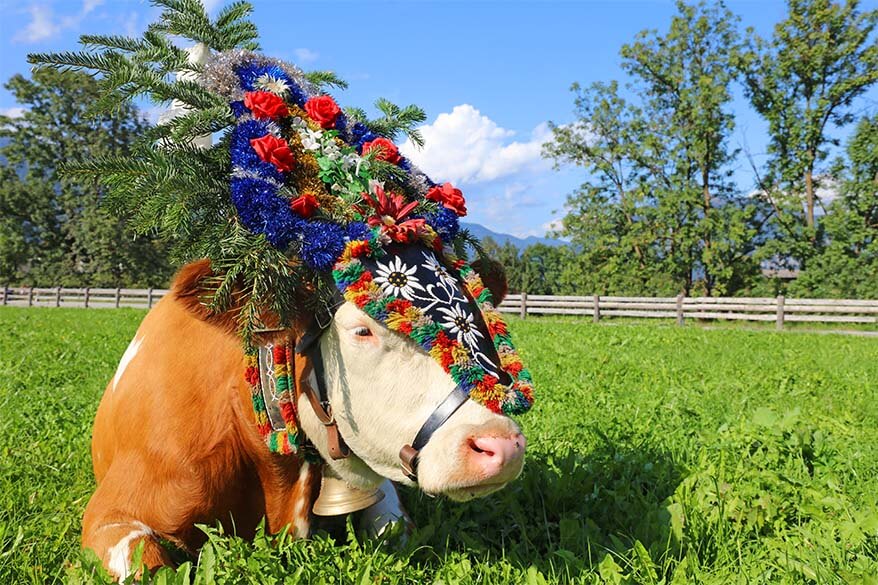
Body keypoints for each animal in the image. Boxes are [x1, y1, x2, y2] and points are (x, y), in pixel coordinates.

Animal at [84, 260, 524, 580]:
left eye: (478, 324)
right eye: (362, 331)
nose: (501, 444)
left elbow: (393, 529)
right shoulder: (112, 513)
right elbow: (147, 562)